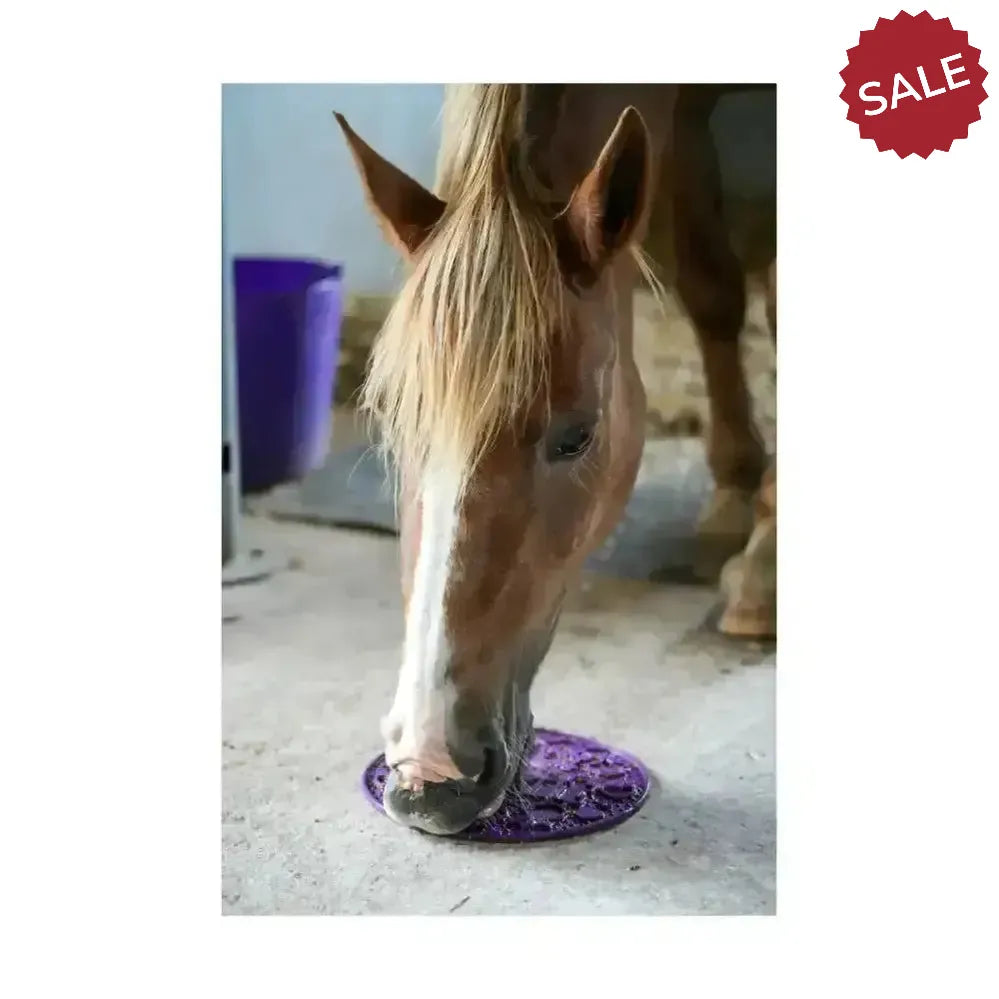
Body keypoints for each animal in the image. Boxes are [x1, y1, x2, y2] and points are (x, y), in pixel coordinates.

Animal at [334, 84, 776, 835]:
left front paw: (762, 565)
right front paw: (732, 495)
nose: (429, 768)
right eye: (394, 424)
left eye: (576, 437)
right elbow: (709, 288)